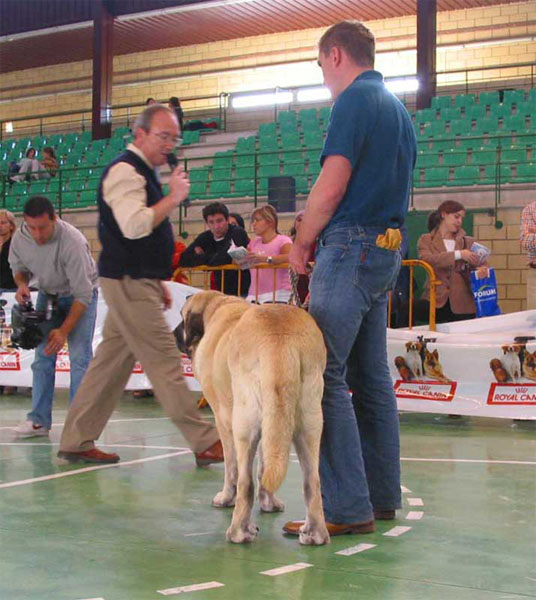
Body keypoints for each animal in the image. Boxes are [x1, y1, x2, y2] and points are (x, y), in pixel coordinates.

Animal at [176, 292, 328, 548]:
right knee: (312, 481)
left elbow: (232, 469)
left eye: (182, 315)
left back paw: (238, 532)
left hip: (244, 424)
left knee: (245, 483)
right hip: (308, 423)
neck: (218, 305)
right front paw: (269, 503)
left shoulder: (223, 420)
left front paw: (225, 498)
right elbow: (265, 465)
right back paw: (315, 533)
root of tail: (279, 339)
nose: (174, 333)